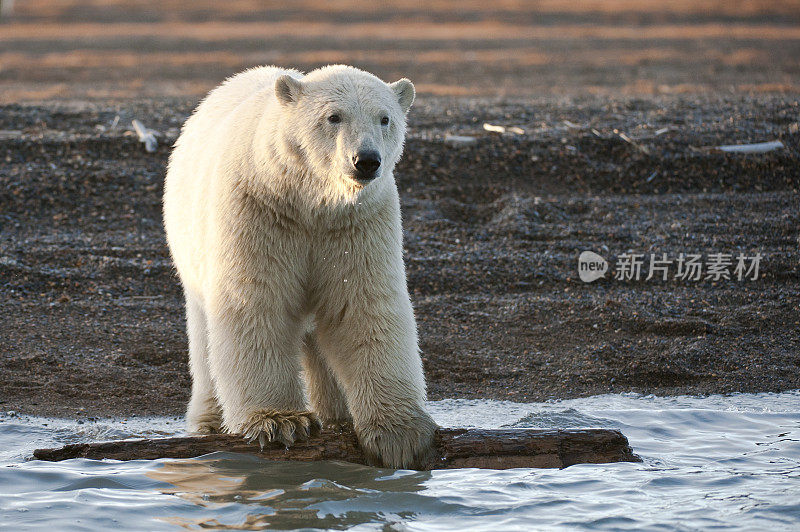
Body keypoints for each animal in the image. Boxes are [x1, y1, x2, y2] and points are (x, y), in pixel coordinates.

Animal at [164, 64, 438, 468]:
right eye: (334, 117)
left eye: (385, 118)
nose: (366, 160)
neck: (310, 200)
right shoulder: (260, 211)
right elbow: (256, 303)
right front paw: (280, 421)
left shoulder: (356, 225)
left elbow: (361, 306)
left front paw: (400, 435)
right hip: (192, 248)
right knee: (205, 338)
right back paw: (210, 421)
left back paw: (338, 415)